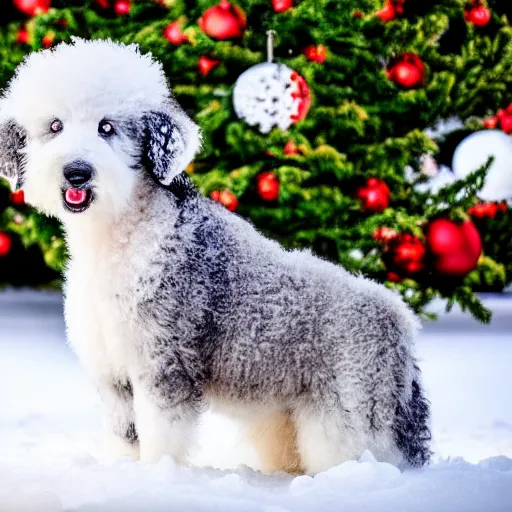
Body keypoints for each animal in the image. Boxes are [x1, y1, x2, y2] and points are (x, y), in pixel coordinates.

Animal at [0, 38, 430, 474]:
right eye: (55, 126)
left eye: (108, 127)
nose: (77, 173)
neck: (122, 236)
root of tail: (403, 325)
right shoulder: (114, 376)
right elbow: (126, 438)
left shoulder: (164, 363)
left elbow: (161, 438)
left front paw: (157, 475)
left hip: (351, 411)